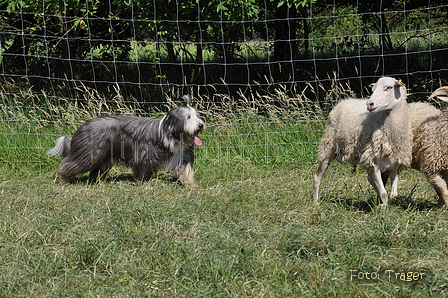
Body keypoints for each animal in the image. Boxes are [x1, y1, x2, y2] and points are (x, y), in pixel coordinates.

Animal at [46, 103, 205, 186]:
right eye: (188, 117)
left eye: (197, 116)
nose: (201, 125)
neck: (170, 132)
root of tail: (82, 126)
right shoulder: (144, 154)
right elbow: (142, 170)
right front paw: (140, 183)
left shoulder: (182, 154)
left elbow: (184, 170)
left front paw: (191, 185)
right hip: (89, 153)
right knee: (70, 163)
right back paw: (64, 178)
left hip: (103, 156)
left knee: (96, 170)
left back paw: (99, 182)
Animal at [312, 77, 412, 207]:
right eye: (373, 89)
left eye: (389, 87)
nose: (369, 104)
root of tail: (343, 101)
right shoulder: (373, 163)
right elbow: (384, 194)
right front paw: (382, 208)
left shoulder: (394, 165)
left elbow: (394, 195)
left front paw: (384, 204)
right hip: (328, 146)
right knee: (317, 176)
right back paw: (315, 202)